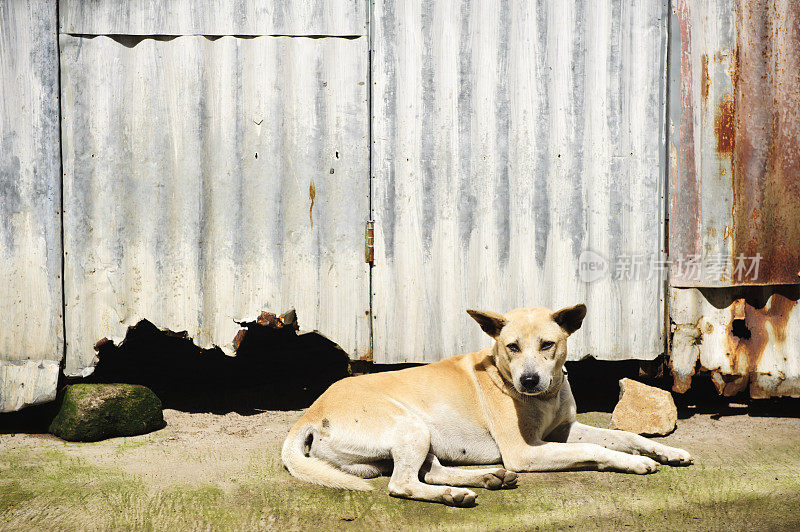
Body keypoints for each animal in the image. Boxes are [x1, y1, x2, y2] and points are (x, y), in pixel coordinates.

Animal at [282, 306, 692, 504]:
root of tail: (310, 414)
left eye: (547, 345)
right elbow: (597, 449)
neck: (544, 396)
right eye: (512, 346)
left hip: (417, 437)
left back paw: (483, 479)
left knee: (429, 472)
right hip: (410, 426)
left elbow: (627, 436)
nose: (529, 381)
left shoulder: (566, 430)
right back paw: (455, 495)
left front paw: (667, 451)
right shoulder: (525, 451)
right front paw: (633, 463)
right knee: (402, 485)